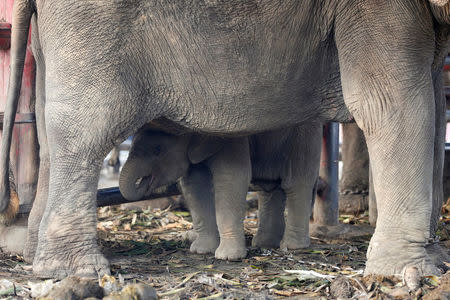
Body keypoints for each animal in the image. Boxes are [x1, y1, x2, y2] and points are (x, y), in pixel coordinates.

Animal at [119, 123, 322, 258]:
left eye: (158, 150)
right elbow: (194, 183)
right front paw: (201, 250)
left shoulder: (230, 140)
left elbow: (232, 177)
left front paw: (227, 257)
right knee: (269, 187)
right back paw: (264, 243)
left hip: (305, 135)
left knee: (296, 183)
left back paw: (293, 246)